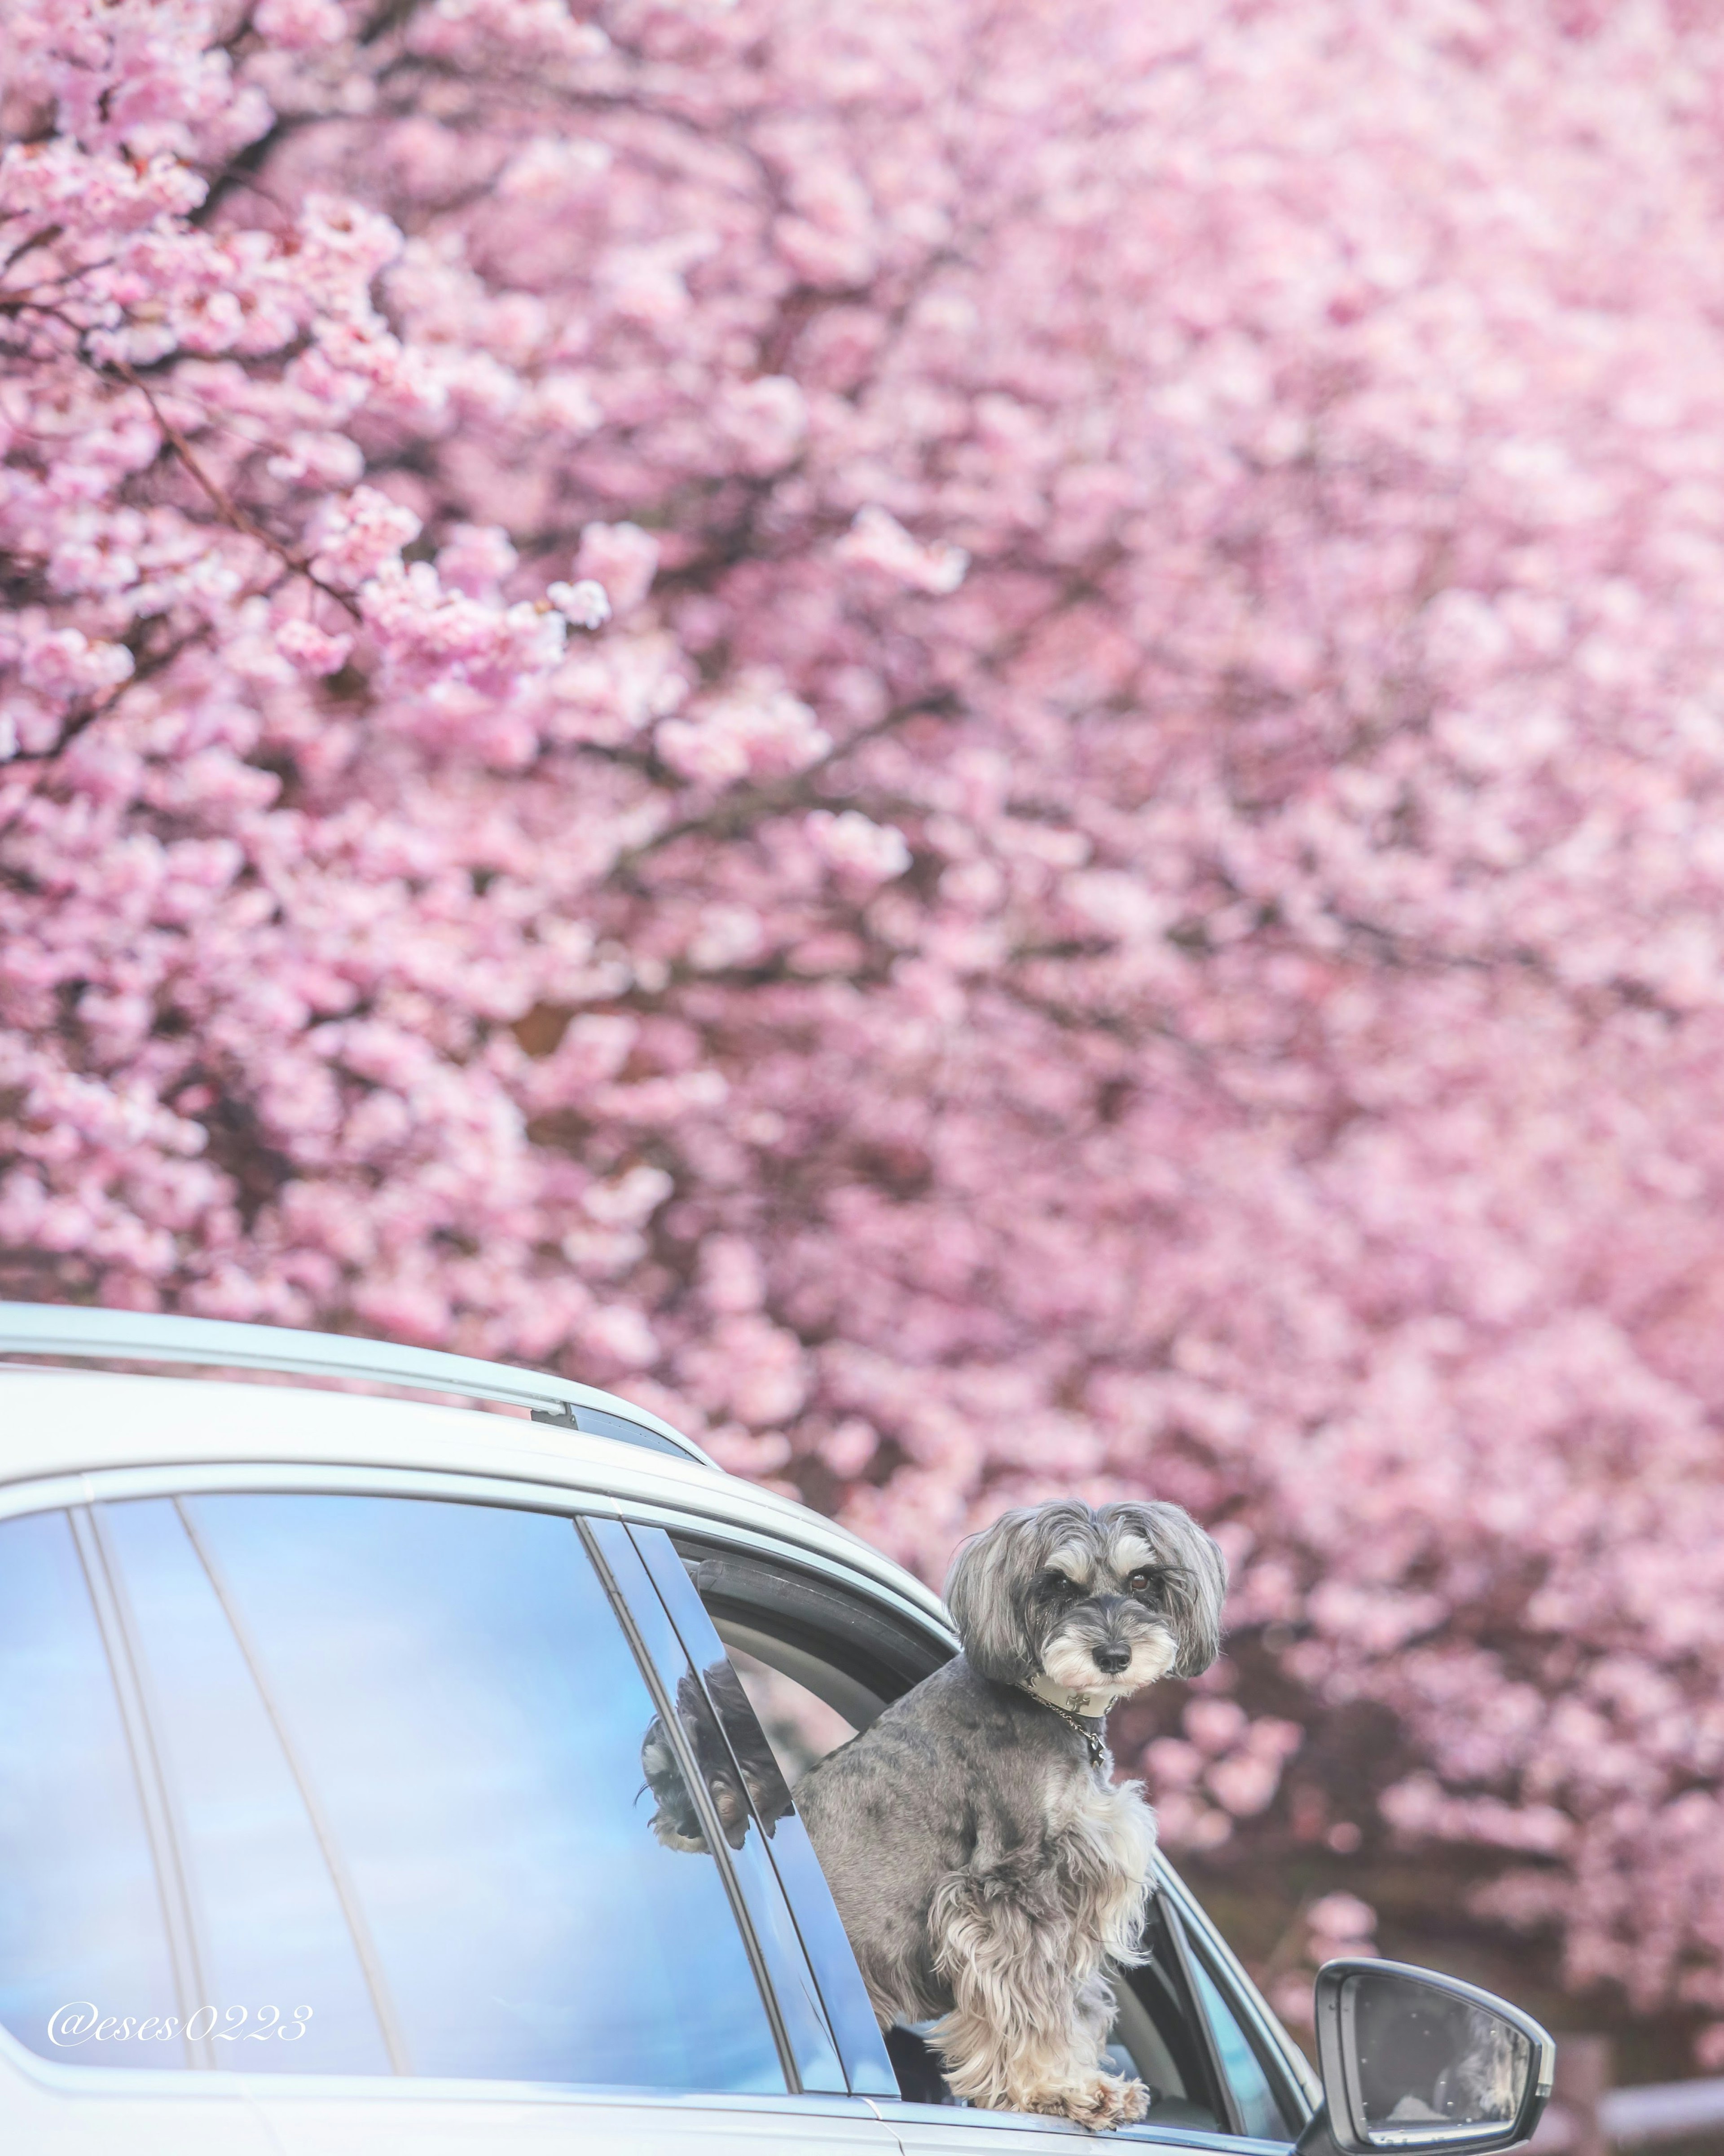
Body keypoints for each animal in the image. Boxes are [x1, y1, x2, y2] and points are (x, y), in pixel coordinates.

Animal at [793, 1509, 1224, 2130]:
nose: (1114, 1656)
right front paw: (1056, 2088)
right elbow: (1029, 1997)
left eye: (1142, 1579)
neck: (1051, 1706)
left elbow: (1073, 1999)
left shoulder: (1073, 1883)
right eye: (1059, 1584)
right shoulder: (1009, 1886)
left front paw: (1082, 2080)